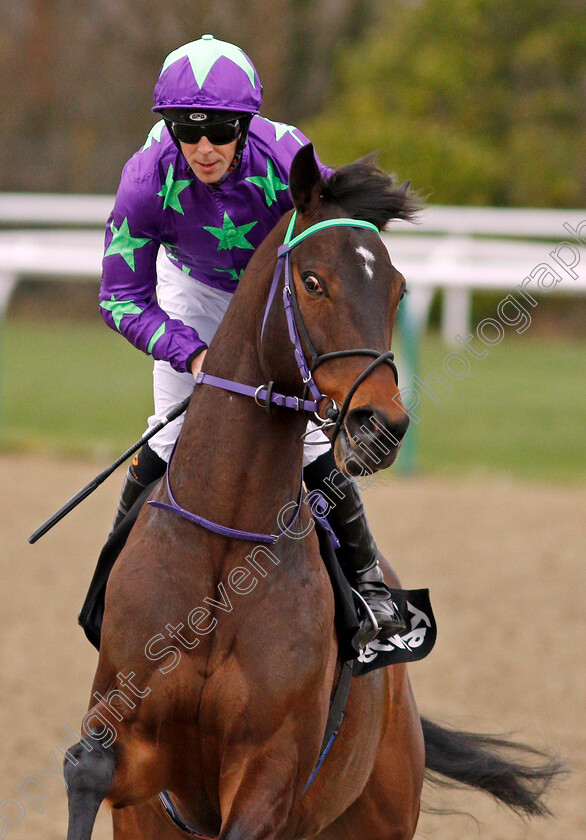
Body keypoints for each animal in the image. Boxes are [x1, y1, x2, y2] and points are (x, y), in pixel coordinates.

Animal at [64, 146, 556, 840]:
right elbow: (88, 771)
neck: (223, 548)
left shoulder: (272, 770)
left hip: (380, 807)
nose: (381, 425)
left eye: (399, 288)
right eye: (314, 282)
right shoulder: (133, 750)